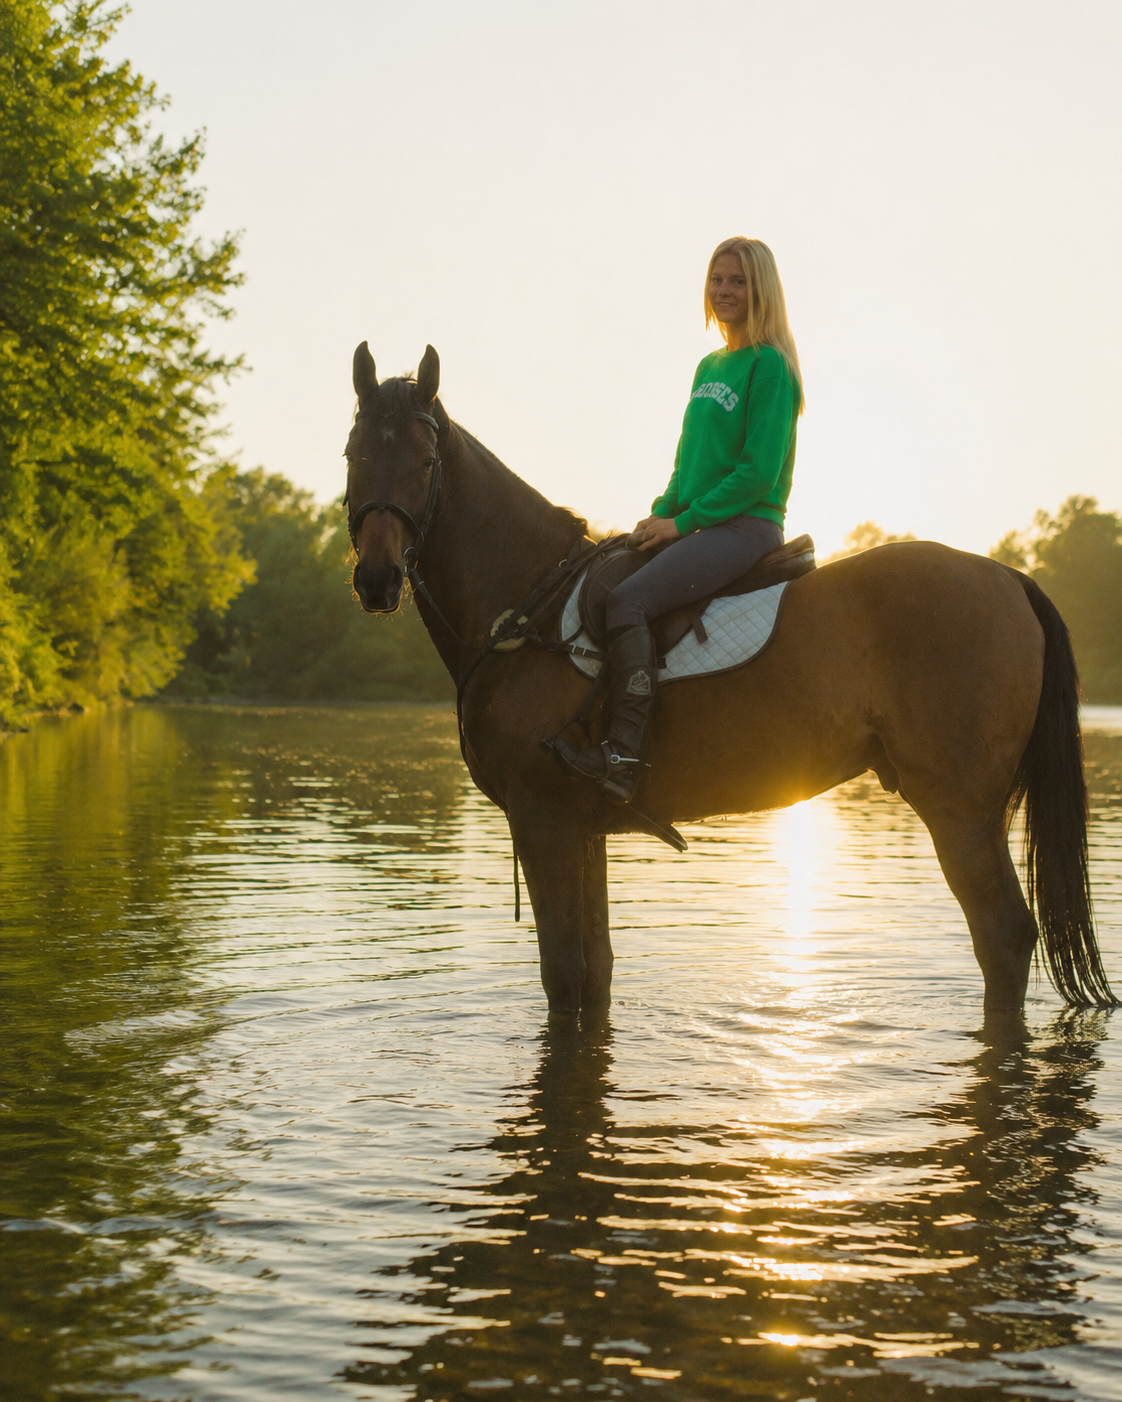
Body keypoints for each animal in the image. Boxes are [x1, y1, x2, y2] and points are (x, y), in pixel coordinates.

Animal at [343, 342, 1116, 1017]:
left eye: (426, 460)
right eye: (353, 454)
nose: (377, 579)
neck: (527, 605)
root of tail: (1009, 577)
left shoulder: (545, 822)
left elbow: (563, 976)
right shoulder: (582, 832)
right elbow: (596, 975)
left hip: (960, 810)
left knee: (1004, 938)